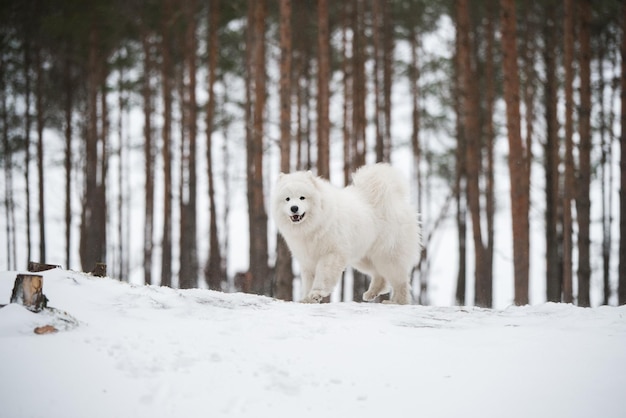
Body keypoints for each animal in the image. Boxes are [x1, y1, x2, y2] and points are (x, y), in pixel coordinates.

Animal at [270, 162, 420, 304]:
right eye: (287, 199)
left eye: (302, 198)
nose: (294, 208)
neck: (313, 225)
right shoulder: (308, 260)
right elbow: (308, 281)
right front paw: (307, 298)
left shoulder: (331, 254)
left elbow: (322, 275)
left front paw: (317, 293)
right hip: (364, 258)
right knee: (379, 275)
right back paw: (371, 293)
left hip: (387, 256)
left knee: (400, 281)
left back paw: (398, 301)